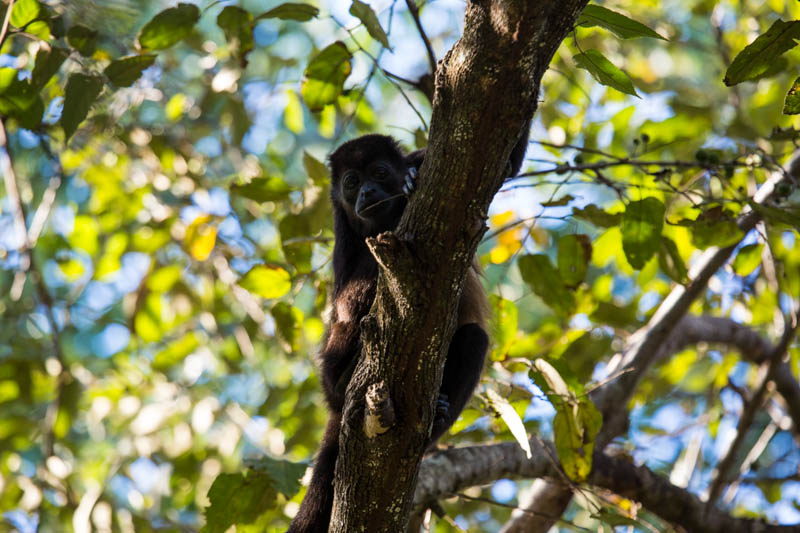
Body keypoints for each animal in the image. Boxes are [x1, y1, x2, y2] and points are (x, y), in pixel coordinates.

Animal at [290, 125, 532, 532]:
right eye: (352, 183)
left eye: (380, 173)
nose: (367, 193)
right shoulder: (343, 232)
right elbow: (346, 298)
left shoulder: (425, 157)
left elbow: (508, 163)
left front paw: (410, 180)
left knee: (475, 338)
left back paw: (437, 415)